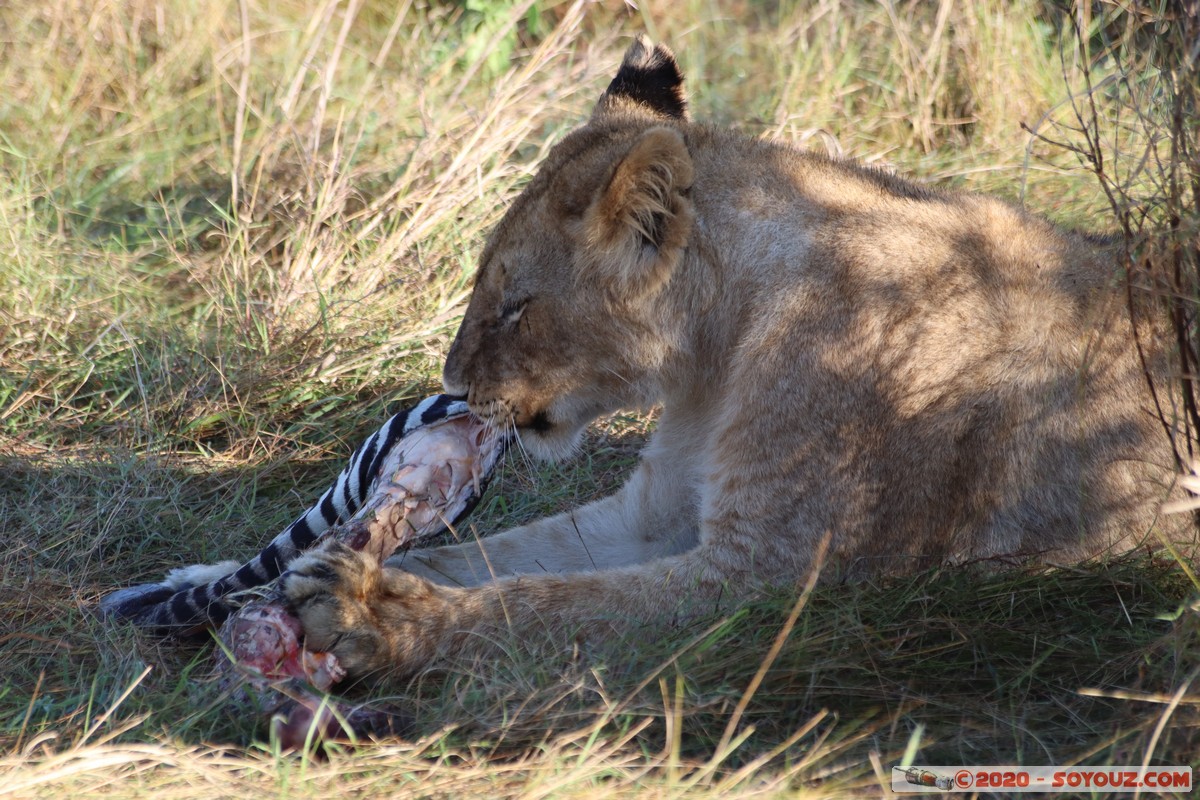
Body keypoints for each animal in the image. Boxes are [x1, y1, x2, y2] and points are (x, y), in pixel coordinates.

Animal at [283, 35, 1190, 676]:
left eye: (515, 306)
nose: (454, 384)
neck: (715, 358)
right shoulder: (649, 513)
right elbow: (494, 557)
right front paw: (307, 578)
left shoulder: (771, 577)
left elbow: (544, 602)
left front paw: (370, 616)